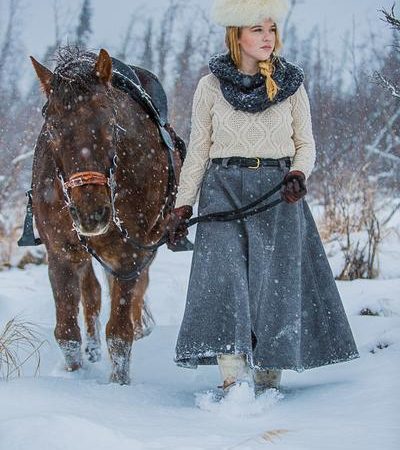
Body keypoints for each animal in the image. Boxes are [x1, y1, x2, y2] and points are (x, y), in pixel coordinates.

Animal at [29, 46, 183, 384]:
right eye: (52, 127)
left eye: (110, 123)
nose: (91, 213)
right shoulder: (61, 253)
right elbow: (67, 333)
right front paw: (75, 376)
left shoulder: (129, 256)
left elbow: (120, 333)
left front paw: (118, 386)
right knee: (93, 292)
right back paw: (92, 348)